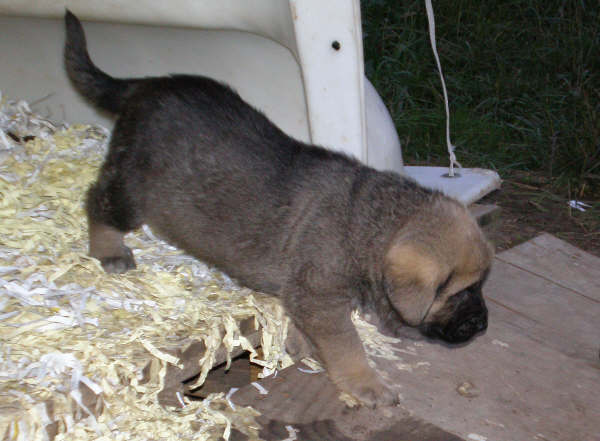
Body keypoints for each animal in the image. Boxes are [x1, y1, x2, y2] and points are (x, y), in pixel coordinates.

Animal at [64, 11, 492, 410]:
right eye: (460, 291)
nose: (483, 325)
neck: (370, 224)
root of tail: (146, 84)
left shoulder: (306, 297)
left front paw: (301, 347)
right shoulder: (321, 299)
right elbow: (347, 346)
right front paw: (366, 383)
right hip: (132, 188)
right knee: (98, 200)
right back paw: (109, 250)